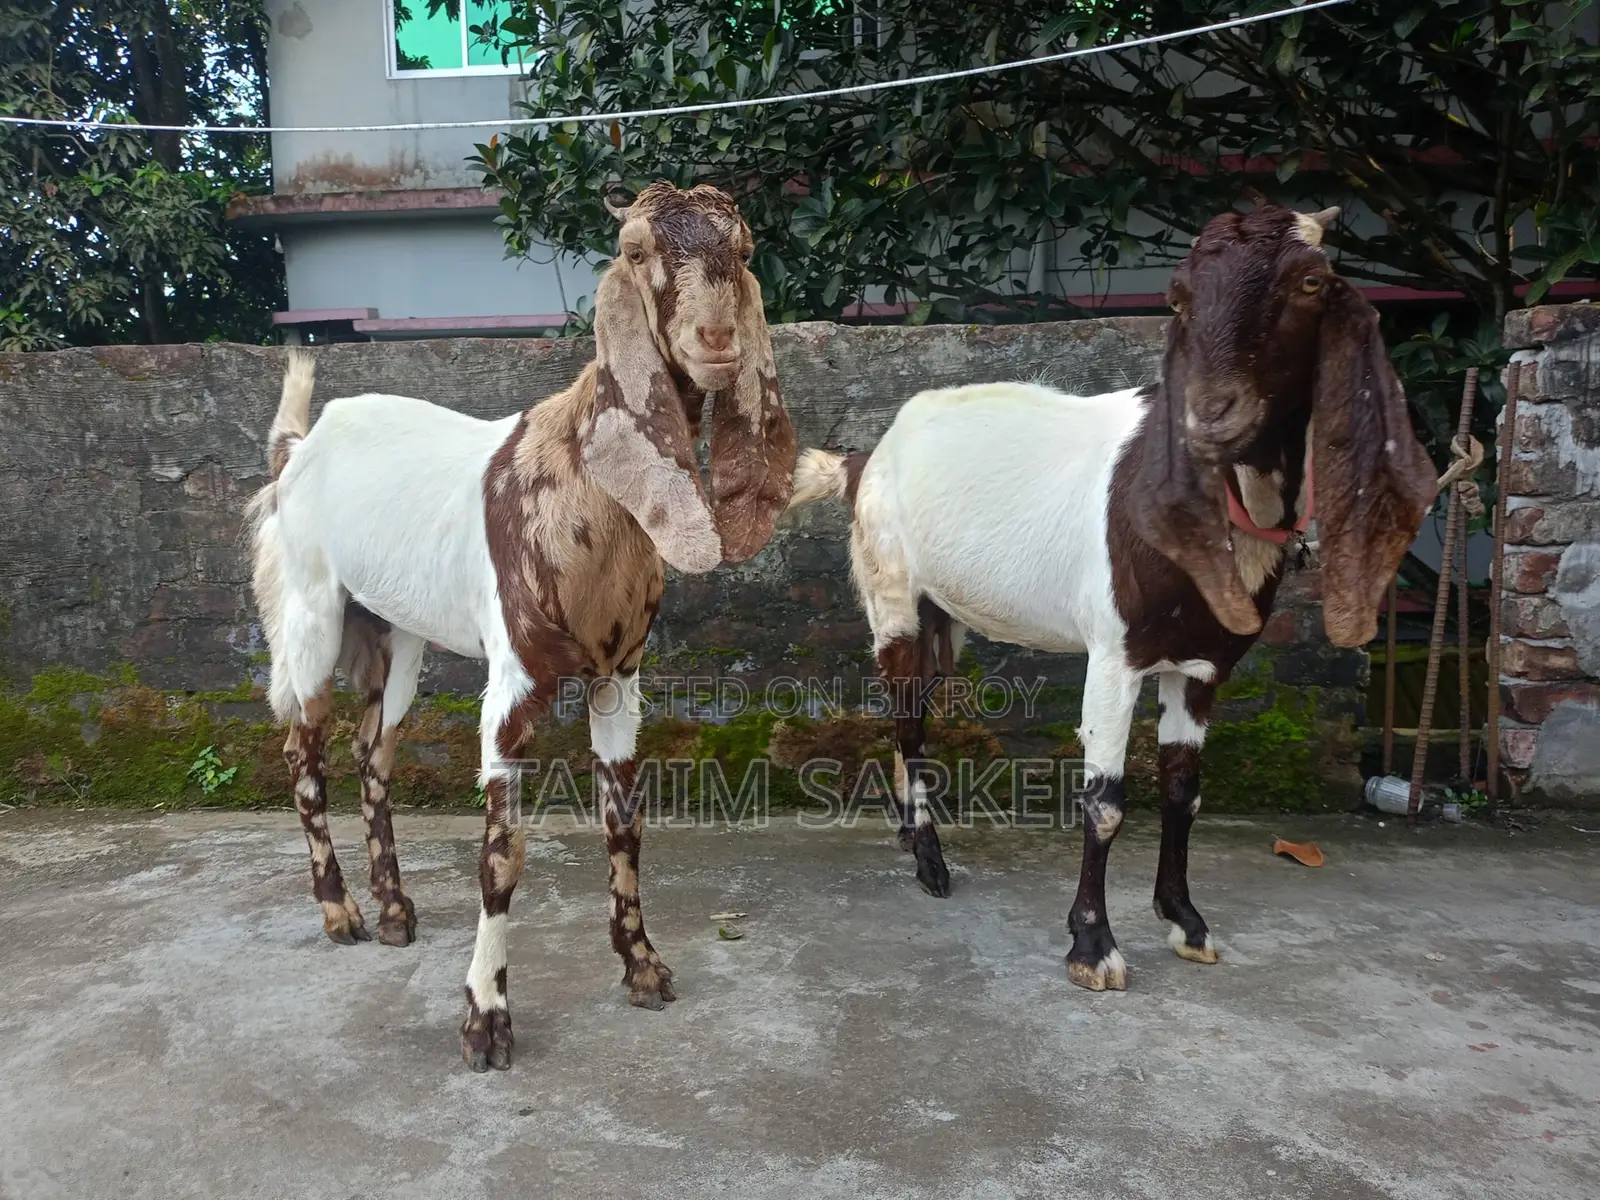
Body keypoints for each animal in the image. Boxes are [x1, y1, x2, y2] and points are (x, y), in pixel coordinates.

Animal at [247, 182, 795, 1070]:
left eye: (742, 251)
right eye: (635, 250)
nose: (716, 340)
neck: (582, 479)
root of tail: (295, 451)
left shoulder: (619, 675)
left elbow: (624, 823)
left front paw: (642, 966)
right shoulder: (513, 680)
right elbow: (502, 855)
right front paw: (486, 1017)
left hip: (394, 631)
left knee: (373, 752)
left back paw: (395, 910)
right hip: (310, 609)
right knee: (303, 750)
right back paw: (340, 913)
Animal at [787, 205, 1436, 991]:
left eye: (1312, 283)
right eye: (1178, 296)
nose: (1211, 416)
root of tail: (865, 458)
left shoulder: (1202, 666)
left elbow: (1184, 793)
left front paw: (1185, 919)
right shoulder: (1115, 651)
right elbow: (1104, 803)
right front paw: (1093, 945)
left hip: (945, 617)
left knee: (911, 711)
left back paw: (910, 834)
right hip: (893, 593)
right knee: (909, 723)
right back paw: (930, 862)